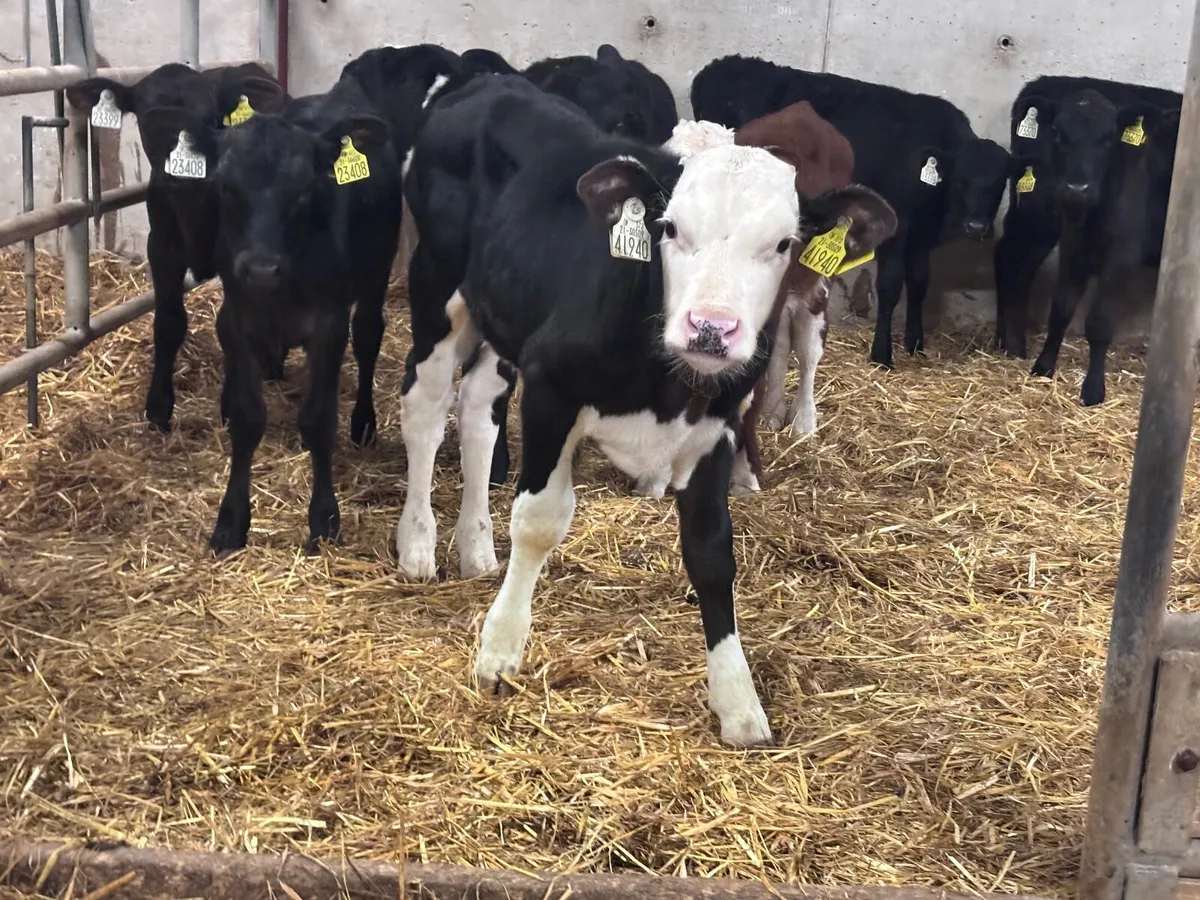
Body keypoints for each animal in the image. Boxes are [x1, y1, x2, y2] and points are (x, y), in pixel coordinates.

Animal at [65, 63, 287, 432]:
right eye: (148, 121)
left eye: (213, 118)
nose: (185, 172)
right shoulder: (162, 249)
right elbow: (169, 322)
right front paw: (158, 407)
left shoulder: (235, 255)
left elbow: (229, 325)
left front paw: (231, 406)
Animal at [138, 74, 405, 556]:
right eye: (225, 187)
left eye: (303, 190)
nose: (261, 268)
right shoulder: (237, 321)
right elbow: (247, 418)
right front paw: (230, 522)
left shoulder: (329, 326)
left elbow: (319, 418)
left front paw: (324, 520)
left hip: (378, 272)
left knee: (369, 335)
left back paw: (363, 423)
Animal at [393, 74, 895, 746]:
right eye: (670, 228)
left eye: (784, 243)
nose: (711, 328)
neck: (665, 380)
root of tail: (486, 82)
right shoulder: (552, 389)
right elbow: (539, 522)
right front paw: (499, 653)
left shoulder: (717, 429)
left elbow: (713, 553)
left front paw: (738, 702)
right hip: (437, 289)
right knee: (425, 406)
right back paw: (418, 546)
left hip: (504, 315)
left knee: (476, 410)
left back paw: (476, 548)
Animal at [691, 54, 1022, 370]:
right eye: (961, 180)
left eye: (1000, 182)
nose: (977, 226)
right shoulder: (897, 231)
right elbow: (890, 288)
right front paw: (882, 355)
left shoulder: (920, 239)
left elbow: (919, 284)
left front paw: (915, 344)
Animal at [992, 76, 1182, 405]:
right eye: (1058, 133)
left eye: (1108, 139)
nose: (1076, 189)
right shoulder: (1079, 244)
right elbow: (1069, 311)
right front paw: (1065, 376)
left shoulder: (1116, 252)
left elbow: (1091, 318)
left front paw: (1078, 382)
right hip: (1039, 214)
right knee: (1014, 263)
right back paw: (1013, 345)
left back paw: (1005, 341)